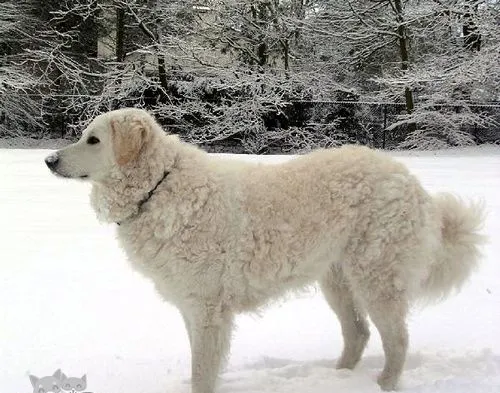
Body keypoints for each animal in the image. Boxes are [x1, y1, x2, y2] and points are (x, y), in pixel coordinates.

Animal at [46, 108, 484, 392]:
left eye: (93, 140)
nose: (48, 160)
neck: (159, 186)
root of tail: (411, 181)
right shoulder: (192, 306)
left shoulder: (207, 310)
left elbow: (203, 371)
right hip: (337, 280)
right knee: (358, 333)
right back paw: (339, 378)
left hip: (376, 278)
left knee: (397, 339)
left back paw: (384, 384)